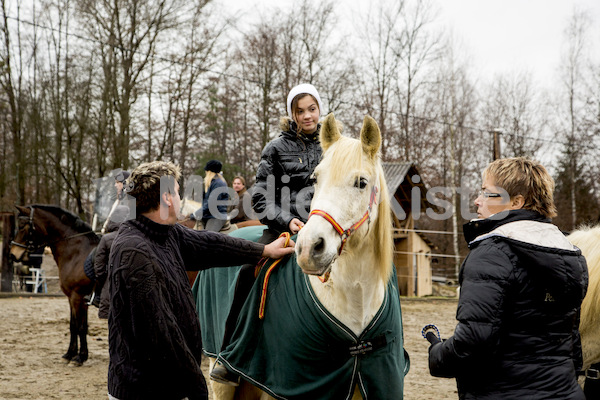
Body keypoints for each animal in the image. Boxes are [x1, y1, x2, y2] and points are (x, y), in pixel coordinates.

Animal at [9, 206, 99, 366]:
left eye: (22, 226)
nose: (13, 254)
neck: (77, 252)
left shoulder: (77, 297)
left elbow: (81, 327)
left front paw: (80, 357)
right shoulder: (73, 298)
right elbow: (73, 325)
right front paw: (70, 354)